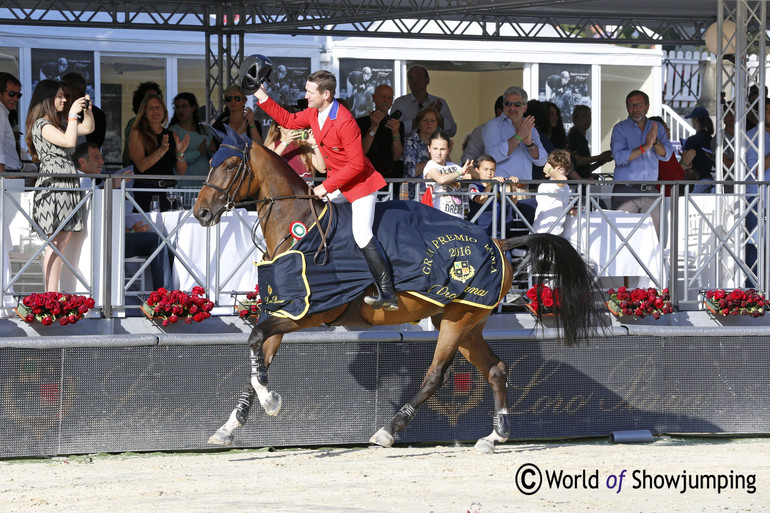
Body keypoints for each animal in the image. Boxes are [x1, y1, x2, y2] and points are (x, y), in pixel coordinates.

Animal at [194, 131, 600, 452]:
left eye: (230, 165)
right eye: (212, 163)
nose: (201, 213)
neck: (300, 226)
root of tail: (498, 241)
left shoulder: (307, 313)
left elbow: (256, 343)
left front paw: (271, 401)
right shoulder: (285, 309)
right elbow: (257, 359)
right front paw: (231, 426)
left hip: (457, 320)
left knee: (436, 376)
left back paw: (389, 430)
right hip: (468, 321)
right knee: (496, 369)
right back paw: (494, 436)